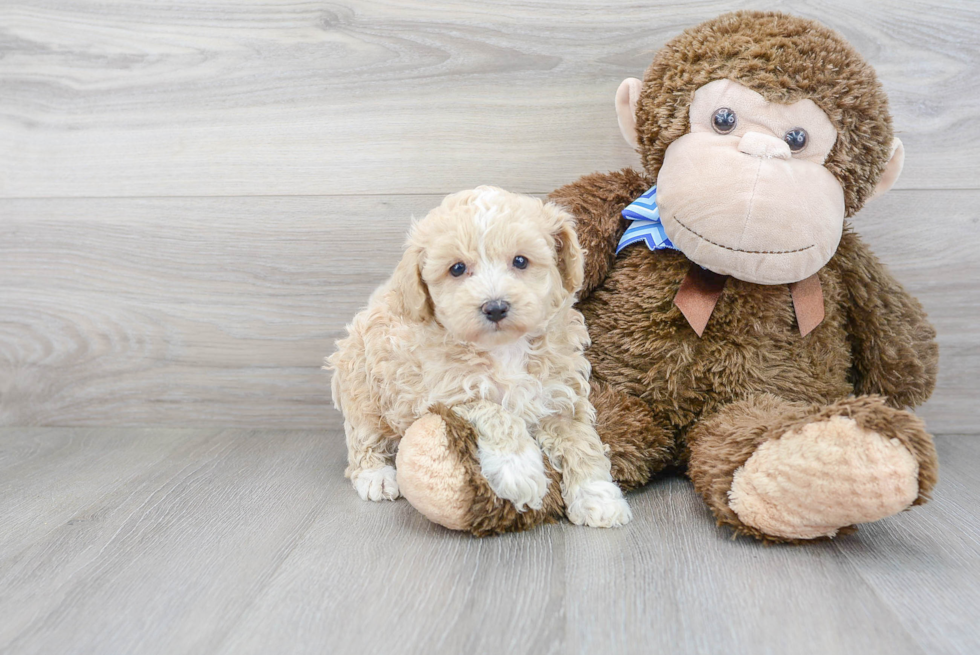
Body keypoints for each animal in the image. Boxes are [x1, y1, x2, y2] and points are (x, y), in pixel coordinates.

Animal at [326, 184, 632, 528]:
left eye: (521, 261)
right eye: (457, 268)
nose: (495, 307)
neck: (505, 348)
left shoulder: (560, 396)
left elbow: (582, 442)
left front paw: (598, 496)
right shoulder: (445, 396)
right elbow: (494, 411)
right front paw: (519, 471)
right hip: (361, 384)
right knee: (364, 435)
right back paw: (375, 475)